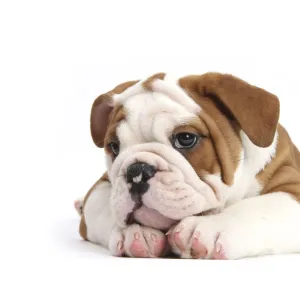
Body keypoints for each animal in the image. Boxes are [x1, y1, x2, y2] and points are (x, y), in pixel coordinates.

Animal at [74, 71, 300, 258]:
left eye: (186, 138)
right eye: (114, 146)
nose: (136, 171)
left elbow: (256, 207)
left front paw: (209, 226)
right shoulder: (101, 186)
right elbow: (104, 205)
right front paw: (133, 232)